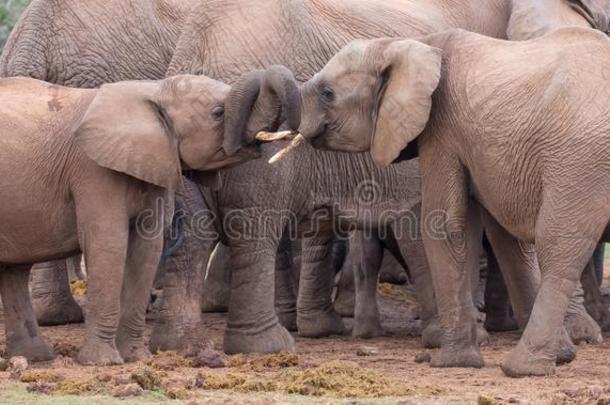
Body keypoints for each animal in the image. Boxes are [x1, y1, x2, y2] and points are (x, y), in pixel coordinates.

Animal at [0, 65, 296, 362]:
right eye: (218, 113)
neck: (154, 91)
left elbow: (147, 248)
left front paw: (136, 358)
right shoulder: (93, 170)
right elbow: (109, 244)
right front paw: (104, 361)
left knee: (15, 271)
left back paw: (36, 357)